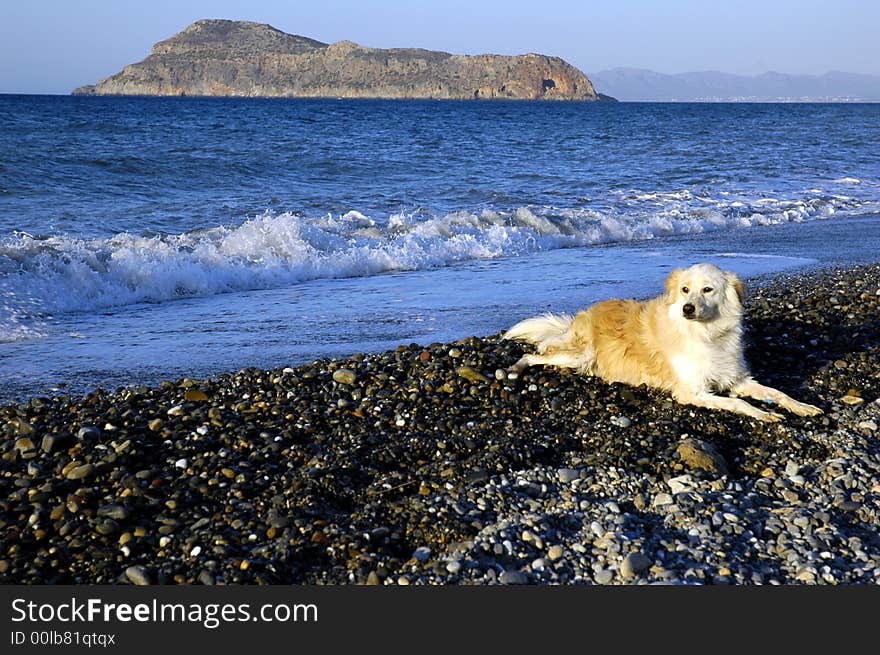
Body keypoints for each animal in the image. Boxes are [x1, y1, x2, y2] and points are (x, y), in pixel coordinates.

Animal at [506, 262, 820, 426]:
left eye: (708, 289)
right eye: (685, 289)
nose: (688, 308)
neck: (705, 334)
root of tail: (582, 316)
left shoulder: (736, 379)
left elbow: (776, 392)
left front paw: (802, 407)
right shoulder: (691, 391)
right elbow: (738, 403)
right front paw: (763, 413)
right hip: (579, 355)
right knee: (534, 355)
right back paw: (514, 370)